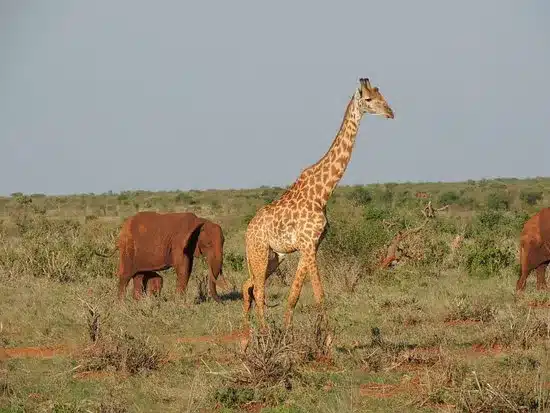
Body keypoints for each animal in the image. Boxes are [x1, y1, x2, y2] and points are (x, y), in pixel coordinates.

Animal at [96, 211, 230, 300]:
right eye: (208, 244)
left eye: (224, 242)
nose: (220, 301)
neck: (199, 221)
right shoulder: (179, 243)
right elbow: (183, 268)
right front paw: (180, 302)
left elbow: (188, 268)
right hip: (128, 247)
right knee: (126, 275)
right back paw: (121, 306)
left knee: (139, 275)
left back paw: (138, 302)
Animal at [244, 76, 394, 328]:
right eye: (368, 99)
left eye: (382, 96)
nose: (390, 112)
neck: (322, 193)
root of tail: (247, 232)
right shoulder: (307, 244)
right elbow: (320, 295)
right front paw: (327, 339)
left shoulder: (311, 246)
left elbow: (294, 296)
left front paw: (289, 331)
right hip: (259, 253)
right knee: (258, 291)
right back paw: (262, 333)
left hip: (275, 257)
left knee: (248, 286)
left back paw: (247, 333)